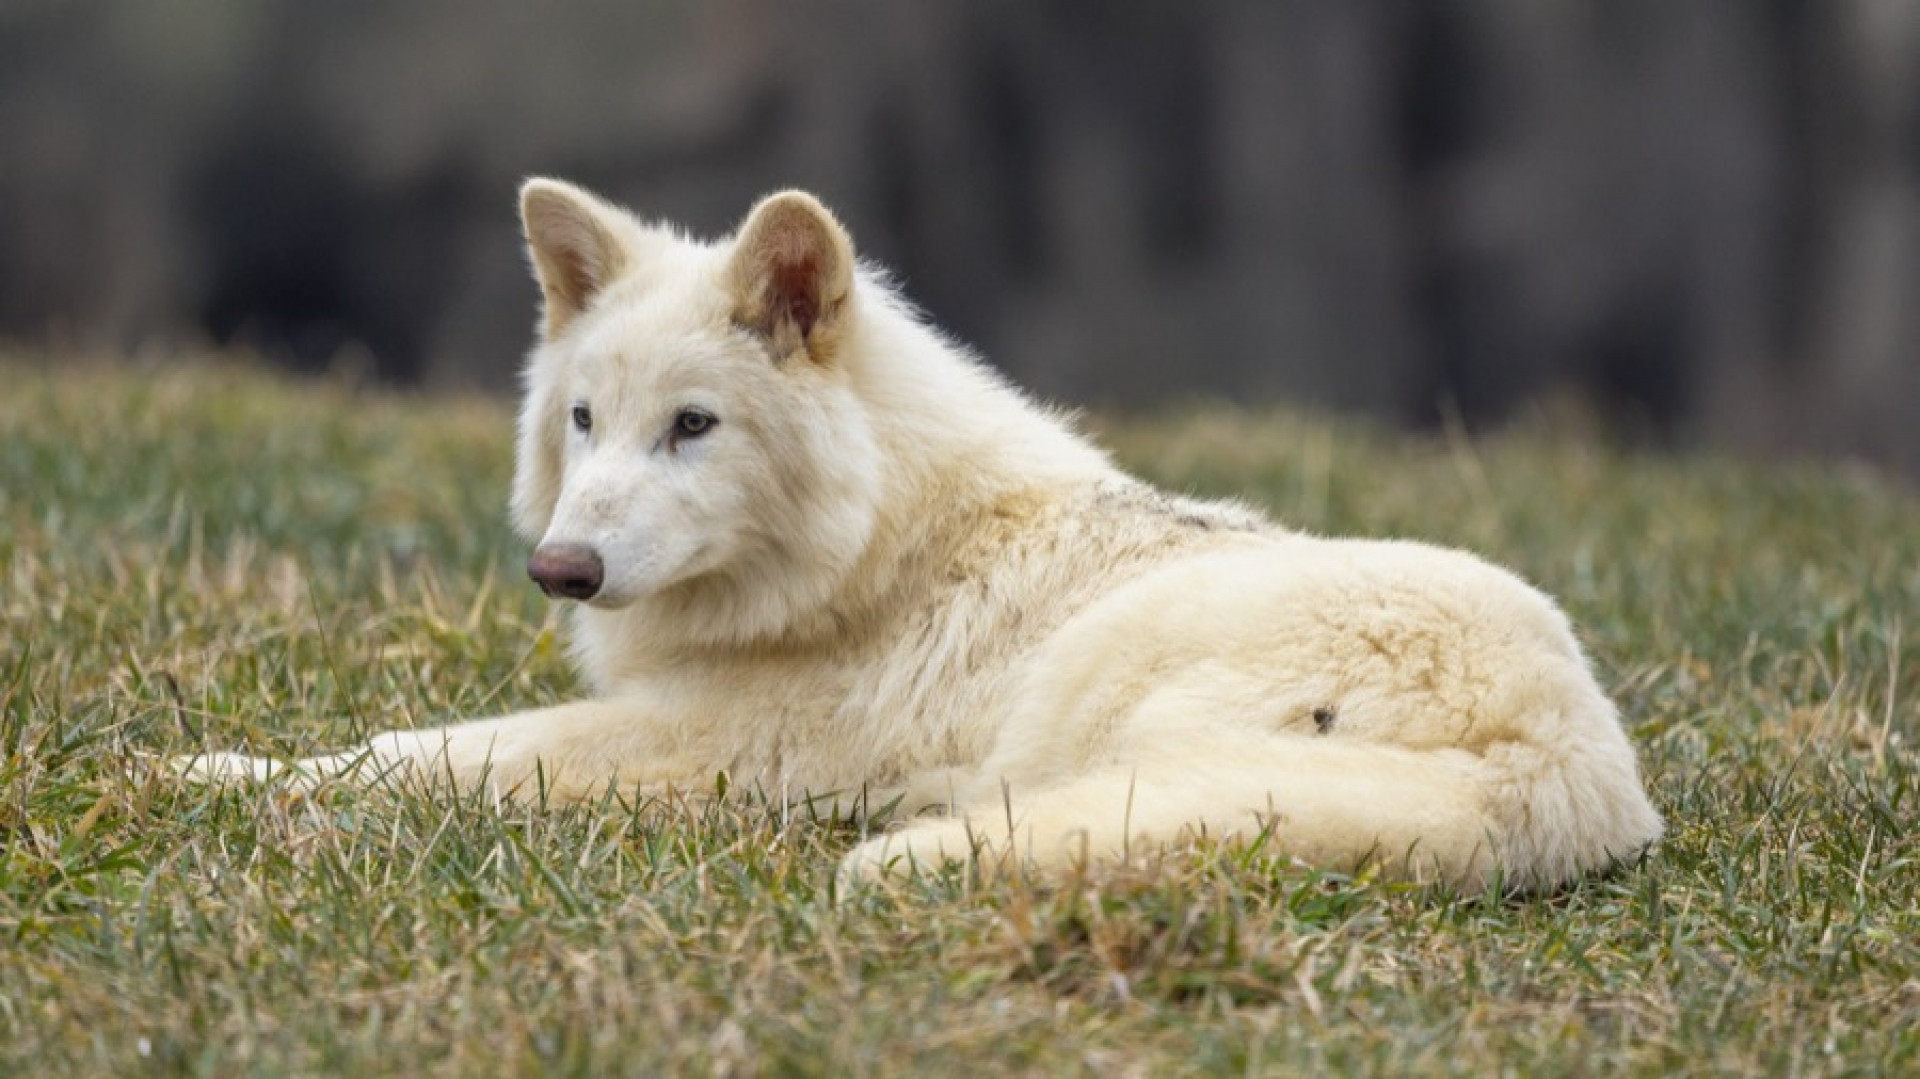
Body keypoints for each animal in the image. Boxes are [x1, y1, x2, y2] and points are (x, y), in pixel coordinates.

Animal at [182, 179, 1662, 891]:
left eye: (694, 426)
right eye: (588, 420)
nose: (564, 569)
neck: (877, 551)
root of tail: (1568, 769)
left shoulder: (698, 747)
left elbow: (414, 751)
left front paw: (209, 772)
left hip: (1108, 704)